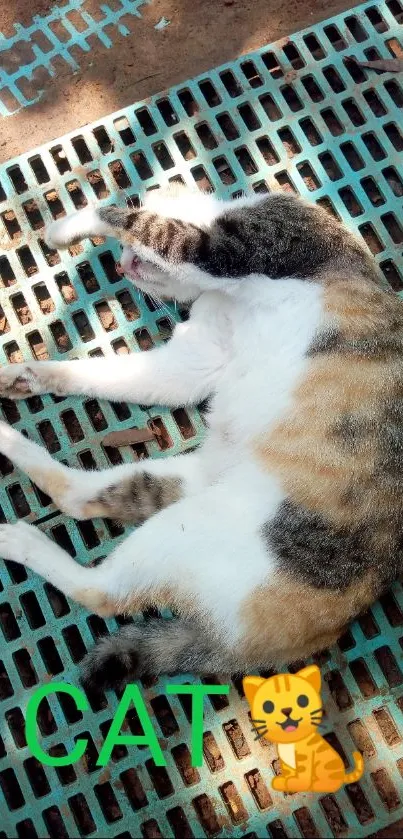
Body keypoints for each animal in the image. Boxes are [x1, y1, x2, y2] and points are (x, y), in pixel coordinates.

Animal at [0, 187, 403, 692]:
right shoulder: (195, 358)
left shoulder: (235, 246)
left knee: (100, 592)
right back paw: (8, 441)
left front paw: (65, 228)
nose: (120, 267)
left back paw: (17, 540)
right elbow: (108, 373)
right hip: (186, 482)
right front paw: (28, 376)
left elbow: (125, 216)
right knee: (77, 496)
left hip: (190, 529)